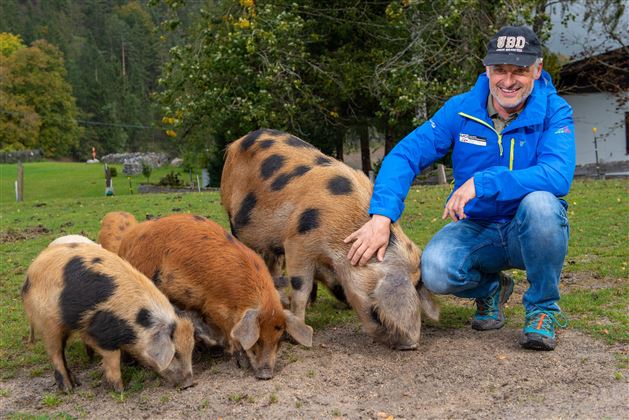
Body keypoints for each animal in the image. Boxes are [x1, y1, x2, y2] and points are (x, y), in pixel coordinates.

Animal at [22, 243, 194, 394]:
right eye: (176, 354)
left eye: (191, 349)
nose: (189, 384)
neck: (137, 323)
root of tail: (29, 274)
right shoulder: (102, 332)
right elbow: (113, 358)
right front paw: (121, 390)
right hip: (48, 321)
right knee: (55, 353)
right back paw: (68, 389)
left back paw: (77, 382)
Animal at [116, 215, 312, 378]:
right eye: (257, 341)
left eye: (279, 340)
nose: (266, 375)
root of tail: (127, 241)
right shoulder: (214, 306)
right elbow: (229, 333)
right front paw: (238, 361)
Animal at [218, 129, 440, 352]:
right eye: (376, 314)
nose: (411, 346)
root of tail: (236, 143)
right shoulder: (297, 241)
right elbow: (301, 286)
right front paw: (298, 334)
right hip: (233, 217)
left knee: (273, 264)